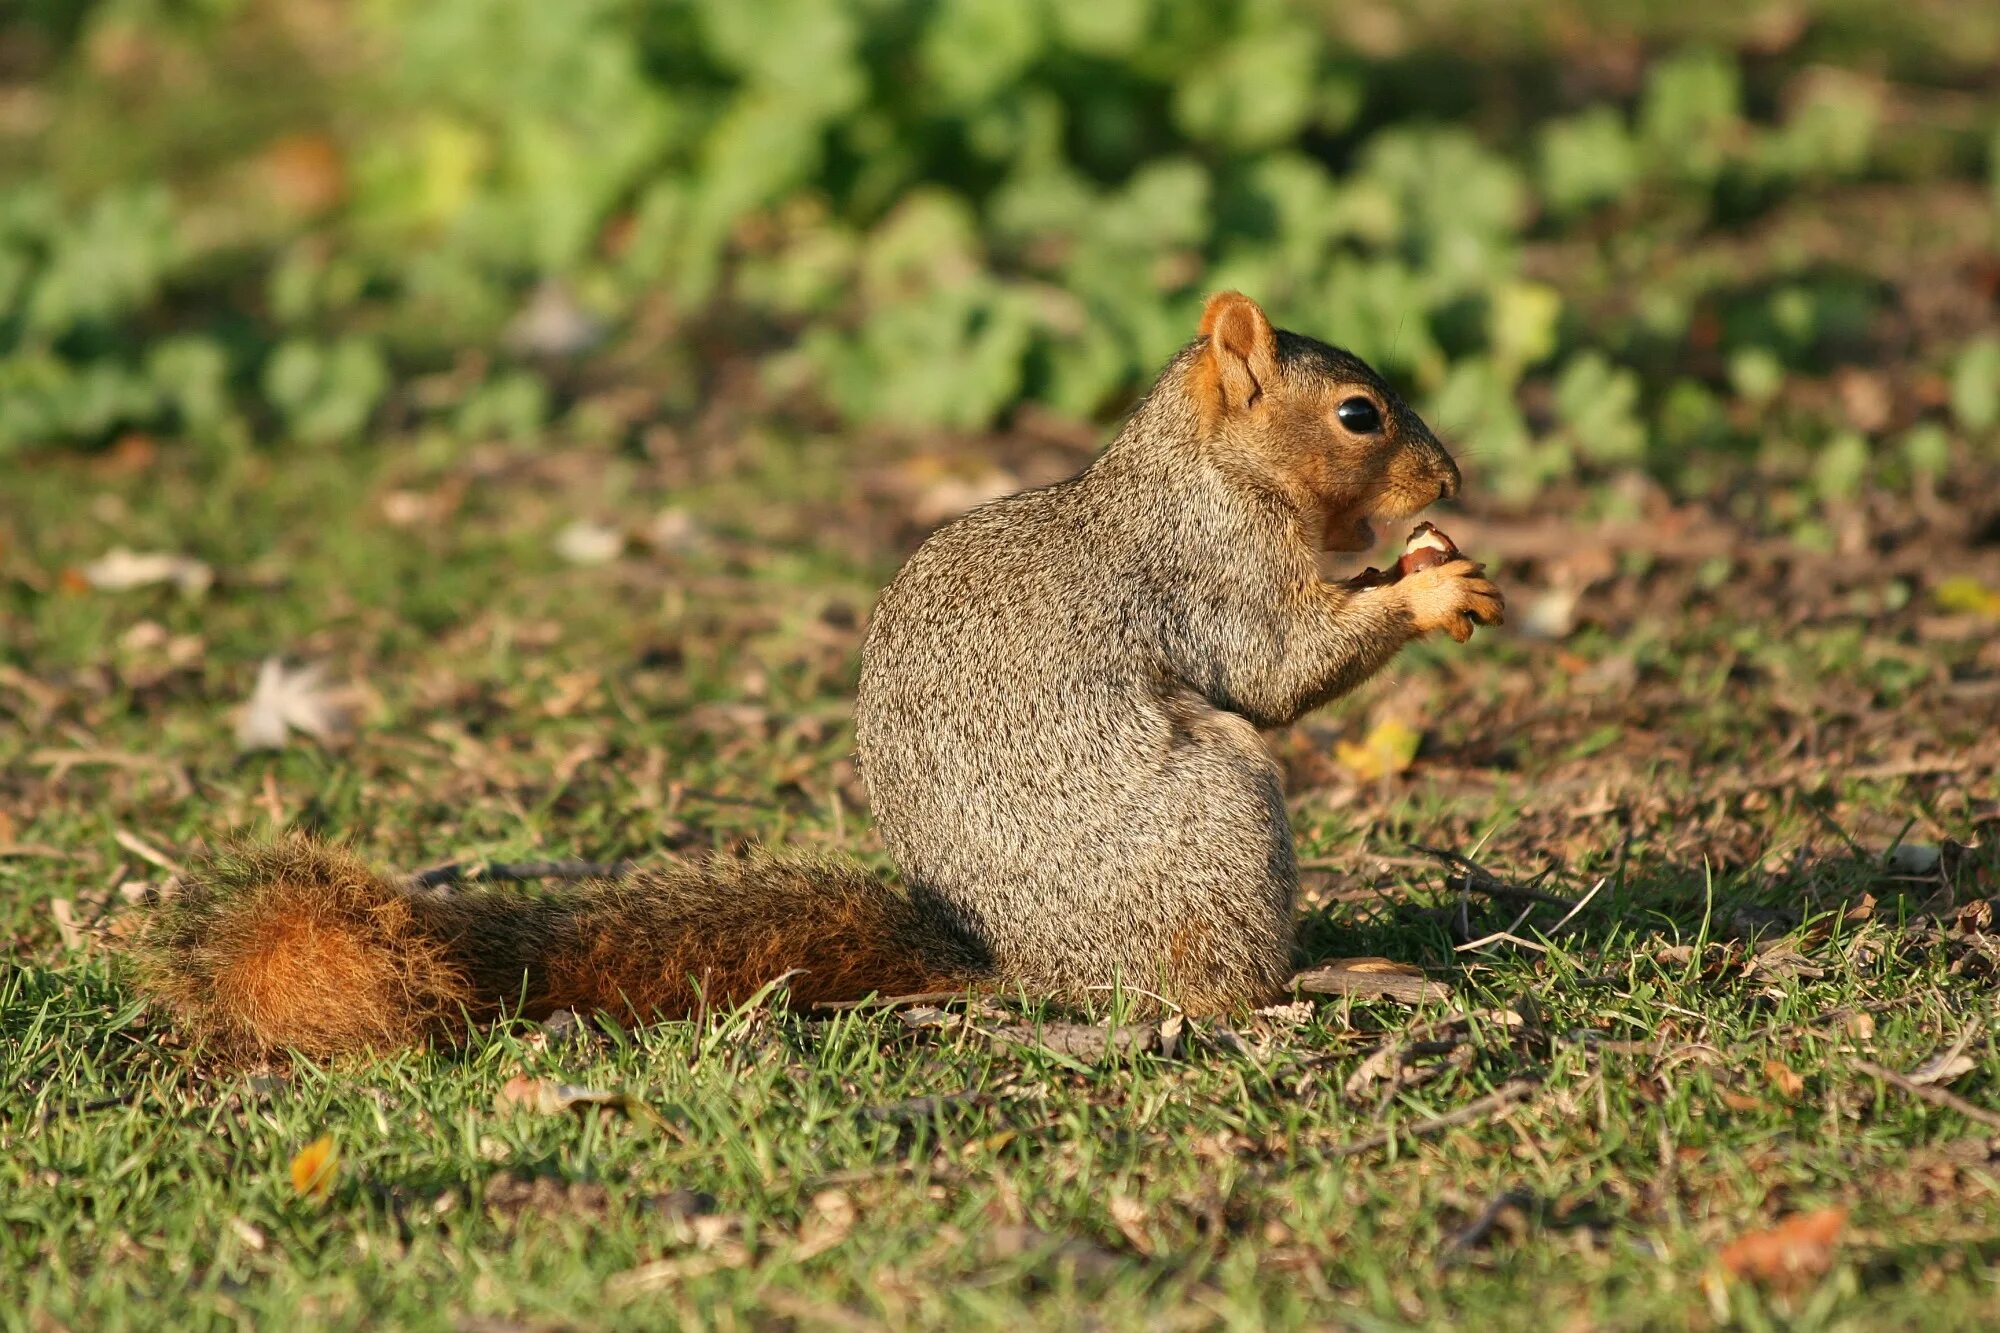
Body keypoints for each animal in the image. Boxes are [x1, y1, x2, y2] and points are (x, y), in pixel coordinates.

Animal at [137, 294, 1504, 1056]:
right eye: (1359, 414)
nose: (1451, 481)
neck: (1209, 472)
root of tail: (1023, 967)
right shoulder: (1208, 575)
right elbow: (1276, 669)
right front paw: (1428, 588)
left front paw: (1432, 560)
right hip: (1217, 815)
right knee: (1212, 985)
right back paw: (1321, 977)